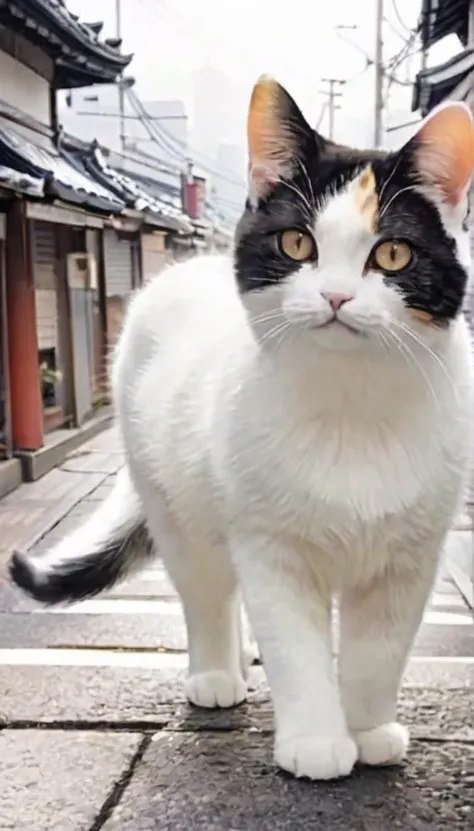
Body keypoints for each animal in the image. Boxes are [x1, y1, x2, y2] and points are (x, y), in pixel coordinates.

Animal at [10, 76, 474, 780]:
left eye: (392, 252)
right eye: (297, 244)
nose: (336, 297)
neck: (351, 405)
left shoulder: (410, 560)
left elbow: (378, 652)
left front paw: (367, 730)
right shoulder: (271, 549)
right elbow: (297, 647)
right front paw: (317, 741)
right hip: (179, 506)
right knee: (207, 591)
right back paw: (217, 674)